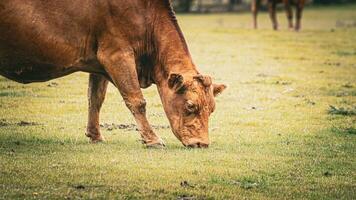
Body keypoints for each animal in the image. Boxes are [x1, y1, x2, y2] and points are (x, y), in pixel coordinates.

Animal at [0, 0, 227, 147]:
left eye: (212, 109)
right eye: (190, 106)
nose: (202, 143)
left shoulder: (99, 61)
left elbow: (95, 98)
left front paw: (95, 135)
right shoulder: (117, 54)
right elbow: (137, 100)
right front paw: (152, 139)